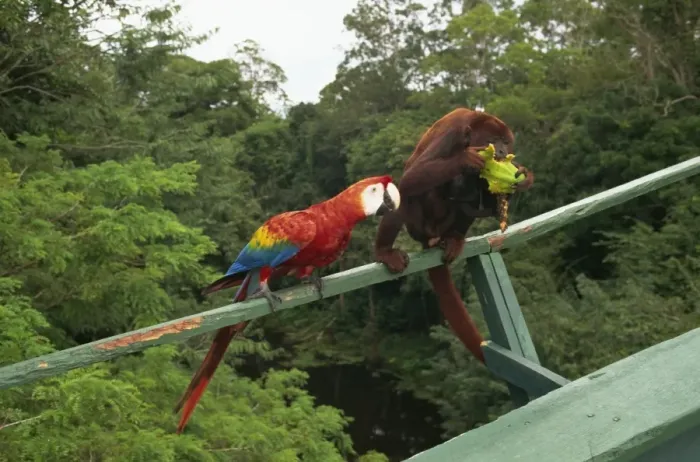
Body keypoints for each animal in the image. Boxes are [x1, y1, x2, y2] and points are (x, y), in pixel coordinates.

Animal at [373, 108, 534, 363]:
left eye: (506, 142)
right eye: (494, 140)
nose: (501, 152)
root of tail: (432, 237)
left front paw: (522, 178)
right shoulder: (453, 133)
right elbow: (410, 178)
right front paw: (467, 160)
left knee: (470, 196)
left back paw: (456, 237)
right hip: (418, 226)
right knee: (405, 192)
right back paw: (385, 251)